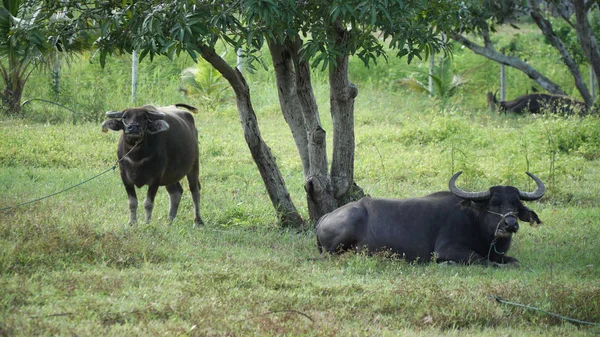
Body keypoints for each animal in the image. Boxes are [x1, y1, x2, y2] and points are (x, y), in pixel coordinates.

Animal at [316, 172, 548, 266]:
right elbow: (481, 260)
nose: (510, 224)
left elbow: (513, 262)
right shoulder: (446, 249)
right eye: (495, 202)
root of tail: (324, 218)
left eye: (516, 204)